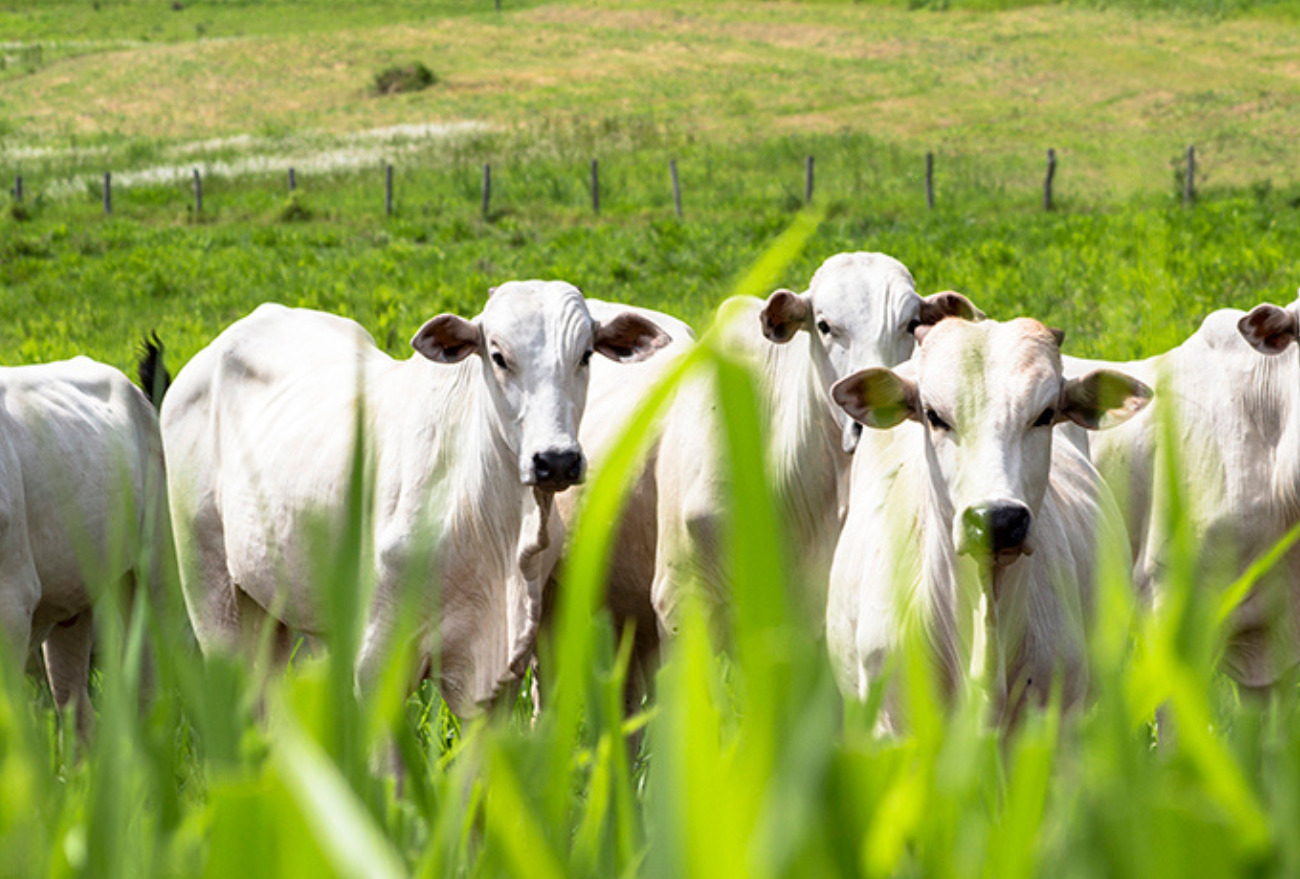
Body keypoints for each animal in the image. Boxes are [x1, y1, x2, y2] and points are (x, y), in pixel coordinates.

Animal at [159, 282, 670, 712]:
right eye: (498, 355)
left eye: (585, 355)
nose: (556, 460)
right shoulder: (376, 666)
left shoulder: (490, 680)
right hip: (211, 595)